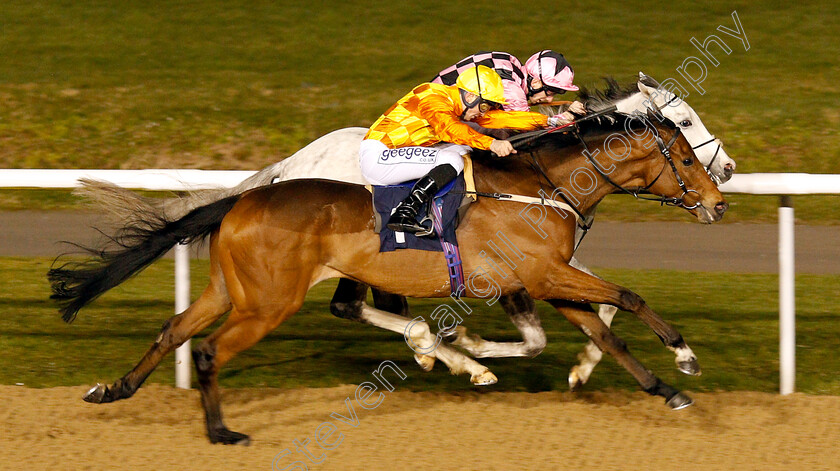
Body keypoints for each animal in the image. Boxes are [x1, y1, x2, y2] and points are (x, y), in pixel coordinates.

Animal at [49, 110, 724, 446]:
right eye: (685, 155)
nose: (719, 201)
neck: (543, 187)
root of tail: (247, 197)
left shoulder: (546, 279)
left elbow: (603, 329)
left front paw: (665, 388)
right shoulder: (546, 272)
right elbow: (628, 297)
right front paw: (685, 356)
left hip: (228, 289)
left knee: (173, 330)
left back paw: (113, 390)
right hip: (268, 302)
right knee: (212, 348)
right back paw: (220, 431)